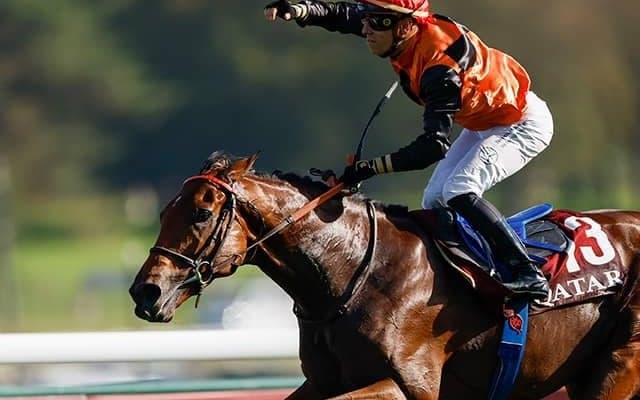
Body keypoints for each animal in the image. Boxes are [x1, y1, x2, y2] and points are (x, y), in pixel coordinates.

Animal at [129, 151, 640, 400]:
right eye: (164, 211)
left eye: (200, 213)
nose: (145, 291)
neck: (355, 274)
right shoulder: (323, 382)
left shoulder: (412, 383)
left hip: (621, 362)